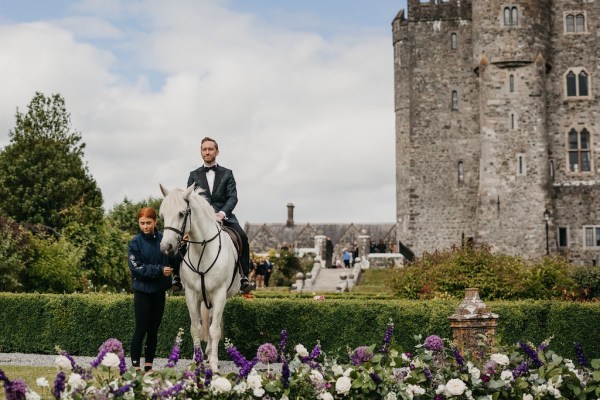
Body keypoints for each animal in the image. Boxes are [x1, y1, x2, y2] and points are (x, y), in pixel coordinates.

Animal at [161, 184, 243, 372]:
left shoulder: (219, 294)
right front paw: (196, 361)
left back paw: (212, 356)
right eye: (163, 214)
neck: (203, 250)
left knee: (215, 324)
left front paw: (213, 364)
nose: (165, 247)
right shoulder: (191, 294)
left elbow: (214, 330)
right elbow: (195, 328)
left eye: (182, 213)